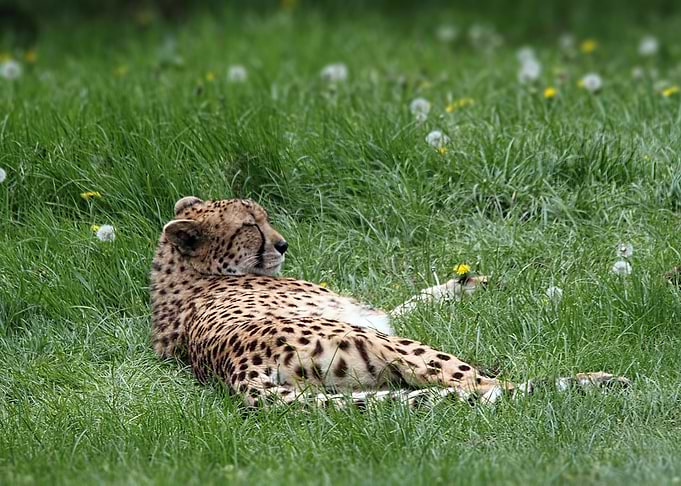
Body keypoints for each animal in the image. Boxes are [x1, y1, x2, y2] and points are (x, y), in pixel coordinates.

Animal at [150, 196, 629, 409]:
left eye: (264, 218)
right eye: (250, 225)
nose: (284, 245)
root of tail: (238, 375)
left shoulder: (371, 314)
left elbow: (412, 300)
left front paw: (466, 283)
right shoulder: (370, 320)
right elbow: (404, 306)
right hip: (395, 347)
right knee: (485, 387)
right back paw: (593, 381)